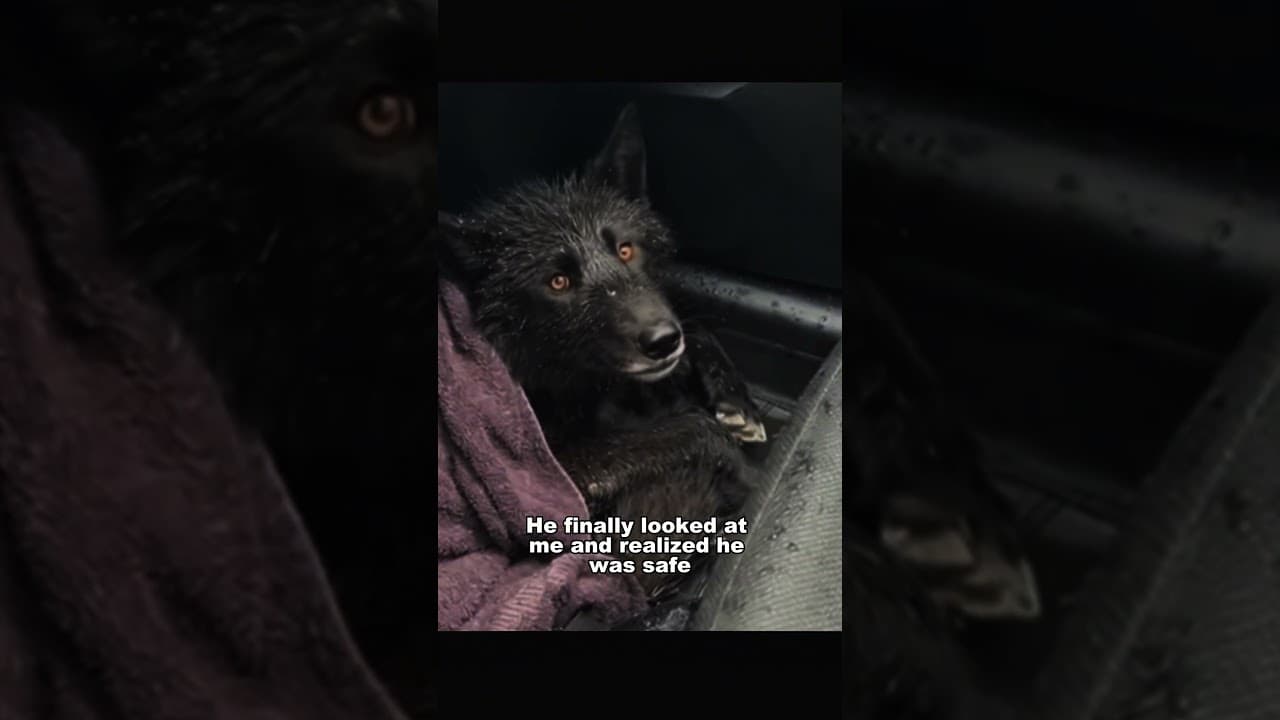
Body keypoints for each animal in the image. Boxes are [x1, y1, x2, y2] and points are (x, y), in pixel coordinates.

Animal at [441, 103, 767, 598]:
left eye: (627, 250)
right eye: (558, 282)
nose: (662, 342)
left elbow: (700, 333)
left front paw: (737, 404)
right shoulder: (555, 477)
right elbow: (695, 428)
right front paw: (743, 468)